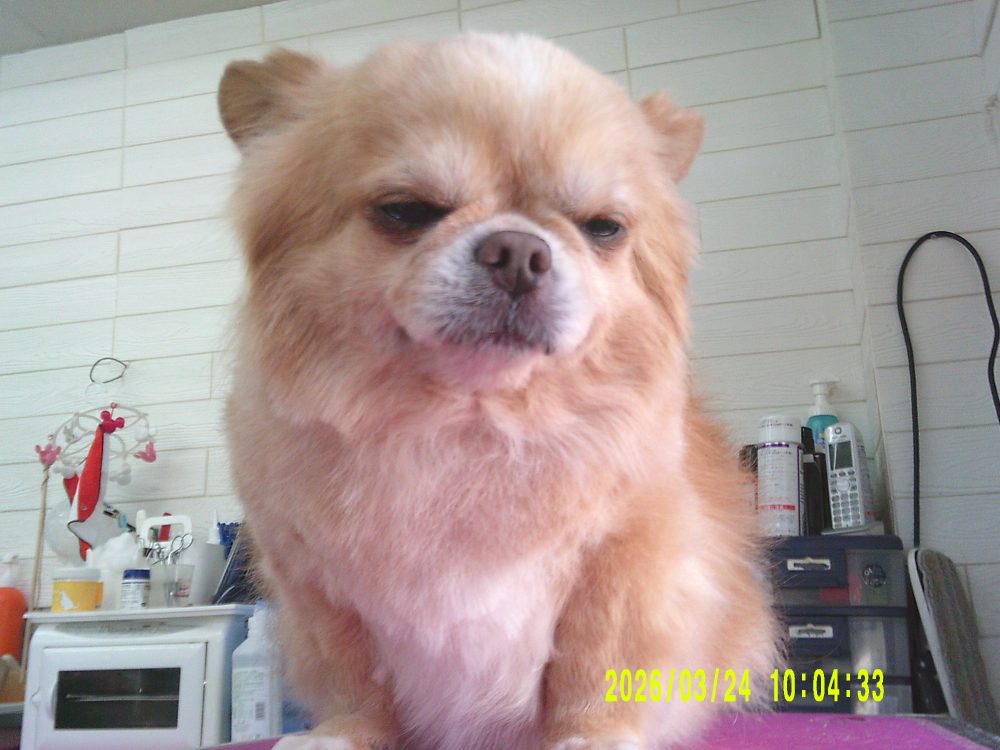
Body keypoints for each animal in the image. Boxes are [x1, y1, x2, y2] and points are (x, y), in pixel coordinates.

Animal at [219, 32, 779, 750]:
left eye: (603, 227)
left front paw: (591, 736)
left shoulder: (623, 561)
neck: (470, 423)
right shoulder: (318, 587)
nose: (518, 250)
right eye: (404, 211)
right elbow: (354, 678)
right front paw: (346, 732)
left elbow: (595, 665)